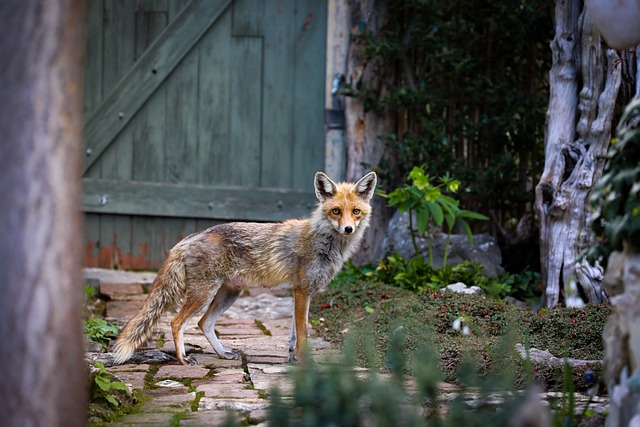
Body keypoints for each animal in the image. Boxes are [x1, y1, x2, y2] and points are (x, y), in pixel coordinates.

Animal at [112, 172, 378, 366]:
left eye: (356, 212)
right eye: (336, 211)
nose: (348, 229)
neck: (322, 241)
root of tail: (190, 237)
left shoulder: (302, 292)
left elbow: (294, 334)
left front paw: (292, 358)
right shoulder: (301, 291)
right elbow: (303, 334)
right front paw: (305, 363)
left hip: (228, 294)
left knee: (204, 324)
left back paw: (221, 355)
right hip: (203, 294)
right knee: (177, 322)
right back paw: (182, 359)